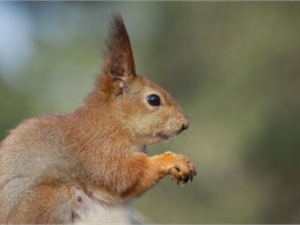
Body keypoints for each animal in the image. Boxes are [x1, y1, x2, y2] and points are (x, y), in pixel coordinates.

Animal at [0, 14, 197, 223]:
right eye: (154, 99)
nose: (185, 124)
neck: (114, 120)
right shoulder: (99, 146)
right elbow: (123, 174)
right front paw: (170, 160)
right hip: (48, 199)